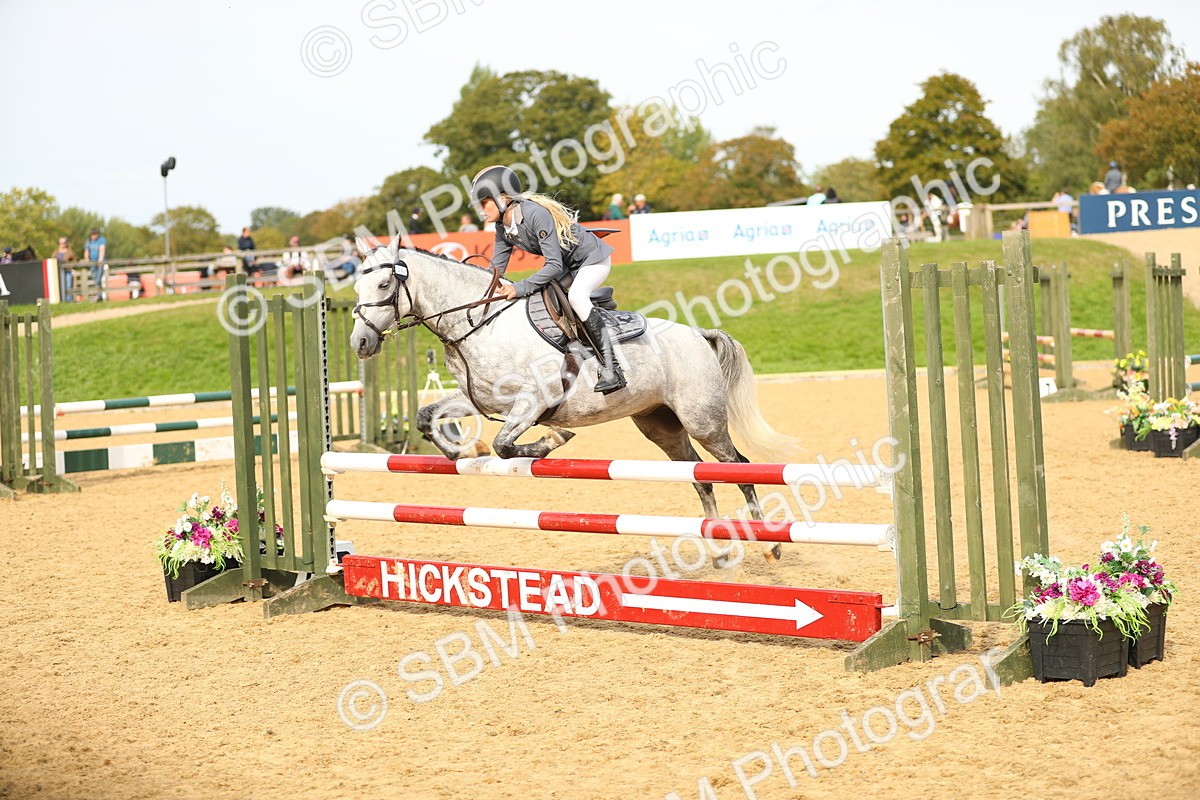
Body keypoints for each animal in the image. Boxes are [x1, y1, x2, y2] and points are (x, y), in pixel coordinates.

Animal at [348, 237, 800, 563]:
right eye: (356, 285)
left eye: (384, 285)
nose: (360, 343)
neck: (479, 323)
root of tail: (697, 334)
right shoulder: (482, 401)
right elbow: (428, 418)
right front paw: (465, 451)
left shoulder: (533, 400)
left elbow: (505, 444)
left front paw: (552, 440)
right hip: (661, 427)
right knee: (699, 477)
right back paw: (720, 551)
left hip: (702, 421)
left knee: (739, 469)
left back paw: (769, 545)